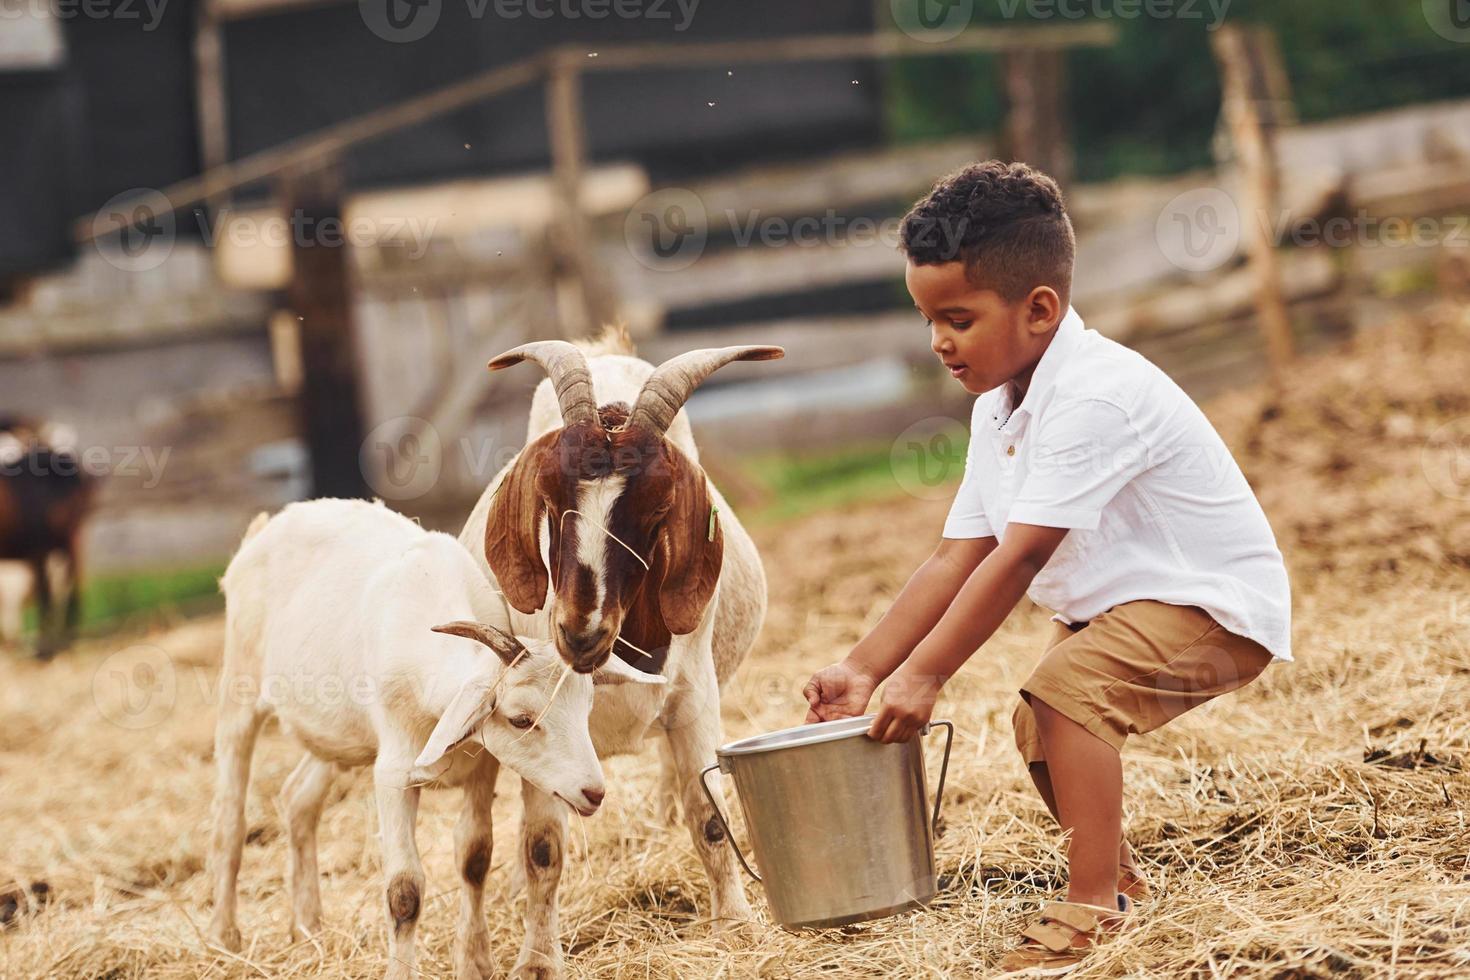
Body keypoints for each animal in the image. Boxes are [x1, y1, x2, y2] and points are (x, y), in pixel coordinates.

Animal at [458, 332, 782, 975]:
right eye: (550, 501)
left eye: (658, 512)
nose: (580, 632)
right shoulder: (543, 727)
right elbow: (542, 846)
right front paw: (537, 960)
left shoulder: (695, 699)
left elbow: (710, 816)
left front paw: (736, 926)